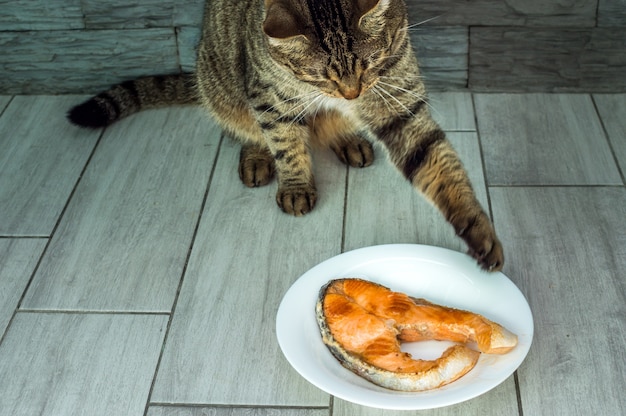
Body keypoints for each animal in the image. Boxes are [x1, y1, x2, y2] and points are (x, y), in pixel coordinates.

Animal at [66, 0, 502, 272]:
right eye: (321, 75)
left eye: (371, 62)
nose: (351, 93)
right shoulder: (269, 100)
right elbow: (287, 147)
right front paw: (295, 185)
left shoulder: (399, 101)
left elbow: (439, 165)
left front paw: (478, 229)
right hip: (224, 87)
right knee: (248, 129)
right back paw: (258, 158)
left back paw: (348, 139)